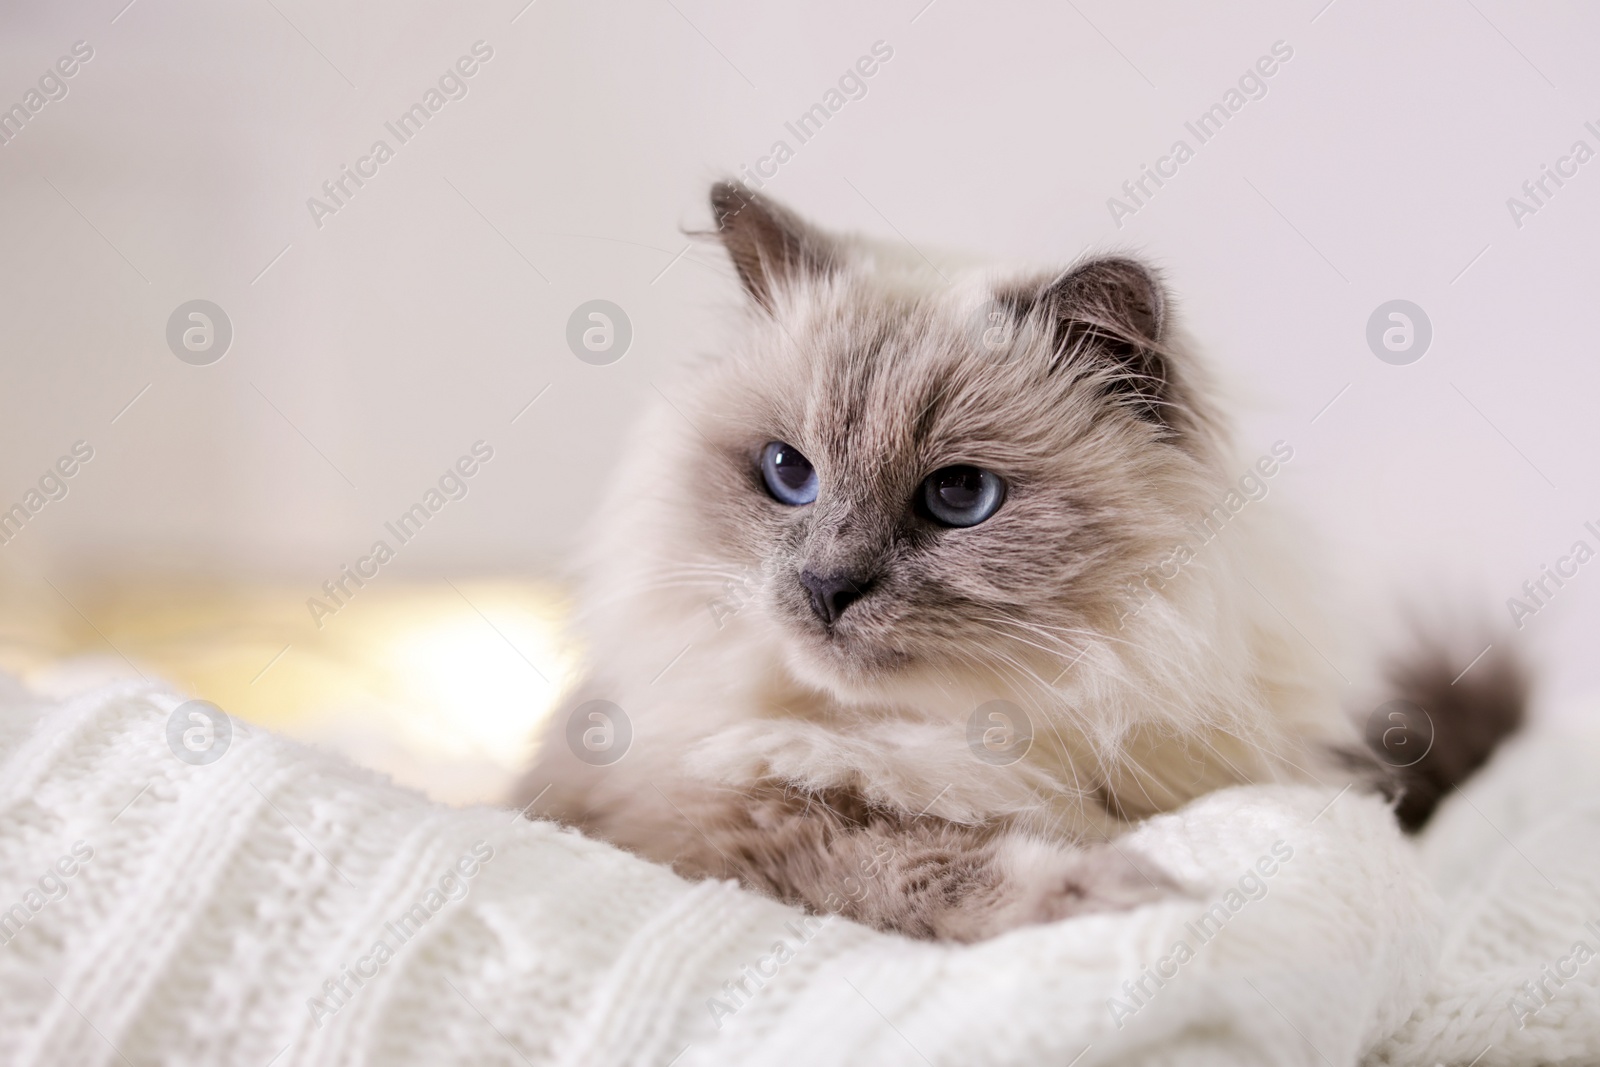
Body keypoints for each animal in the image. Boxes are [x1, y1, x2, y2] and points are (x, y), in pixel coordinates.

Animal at [515, 181, 1523, 940]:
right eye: (788, 473)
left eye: (960, 496)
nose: (827, 586)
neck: (970, 729)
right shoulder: (708, 815)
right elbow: (911, 865)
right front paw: (1131, 893)